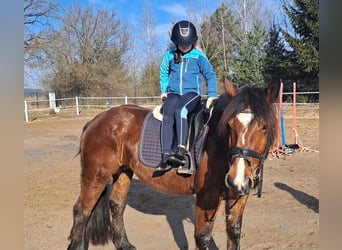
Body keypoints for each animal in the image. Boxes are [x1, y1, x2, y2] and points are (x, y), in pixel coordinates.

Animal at [67, 77, 280, 248]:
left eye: (264, 126)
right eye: (229, 126)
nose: (237, 178)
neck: (218, 146)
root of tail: (95, 121)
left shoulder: (239, 196)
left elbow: (234, 234)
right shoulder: (206, 199)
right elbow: (202, 237)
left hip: (123, 172)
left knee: (116, 206)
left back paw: (124, 244)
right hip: (96, 176)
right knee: (81, 211)